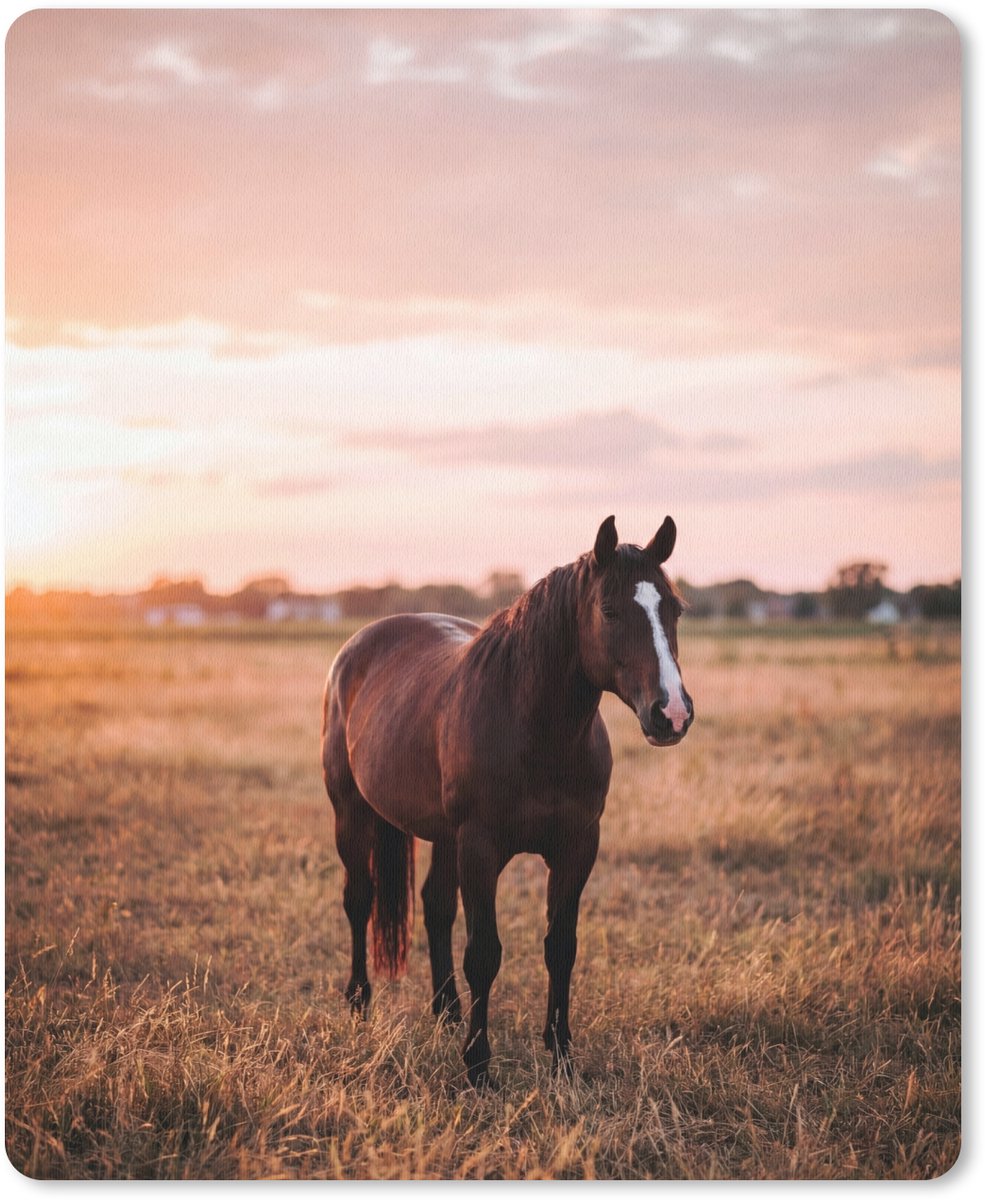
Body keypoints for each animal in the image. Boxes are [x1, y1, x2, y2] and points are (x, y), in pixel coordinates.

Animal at [321, 515, 693, 1087]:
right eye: (609, 610)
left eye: (674, 609)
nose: (671, 713)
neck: (533, 730)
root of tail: (360, 644)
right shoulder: (481, 847)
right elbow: (484, 954)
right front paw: (478, 1066)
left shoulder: (576, 847)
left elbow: (560, 948)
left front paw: (562, 1057)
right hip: (352, 814)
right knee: (359, 898)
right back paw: (360, 1002)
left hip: (442, 836)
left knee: (435, 907)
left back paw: (447, 1011)